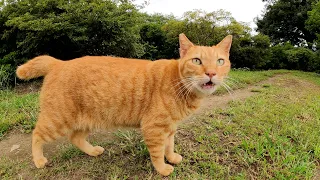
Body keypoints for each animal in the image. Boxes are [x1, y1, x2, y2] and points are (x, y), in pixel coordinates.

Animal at [16, 33, 231, 176]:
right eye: (197, 61)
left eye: (220, 62)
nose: (211, 73)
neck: (179, 84)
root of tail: (59, 62)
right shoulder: (154, 128)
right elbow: (157, 152)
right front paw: (162, 168)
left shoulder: (170, 127)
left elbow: (169, 146)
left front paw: (171, 157)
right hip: (58, 120)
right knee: (36, 135)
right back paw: (39, 160)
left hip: (85, 120)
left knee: (75, 138)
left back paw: (93, 151)